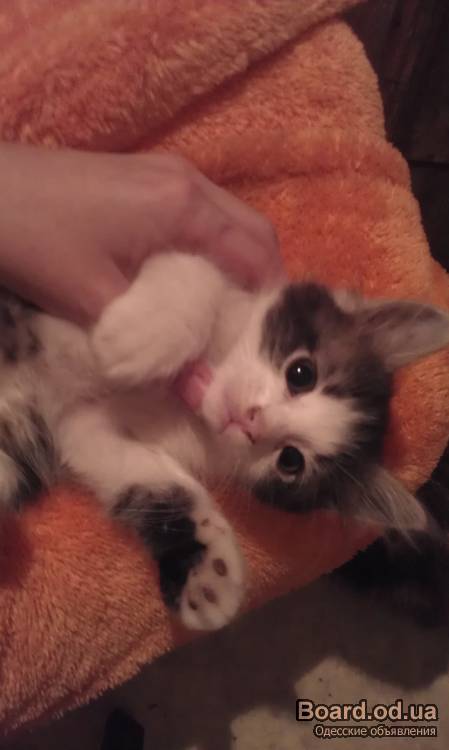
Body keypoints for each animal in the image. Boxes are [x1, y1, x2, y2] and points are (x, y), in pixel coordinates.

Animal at [1, 250, 448, 631]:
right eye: (301, 373)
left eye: (290, 461)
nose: (253, 422)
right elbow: (201, 270)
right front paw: (141, 333)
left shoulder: (84, 425)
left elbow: (149, 478)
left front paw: (208, 570)